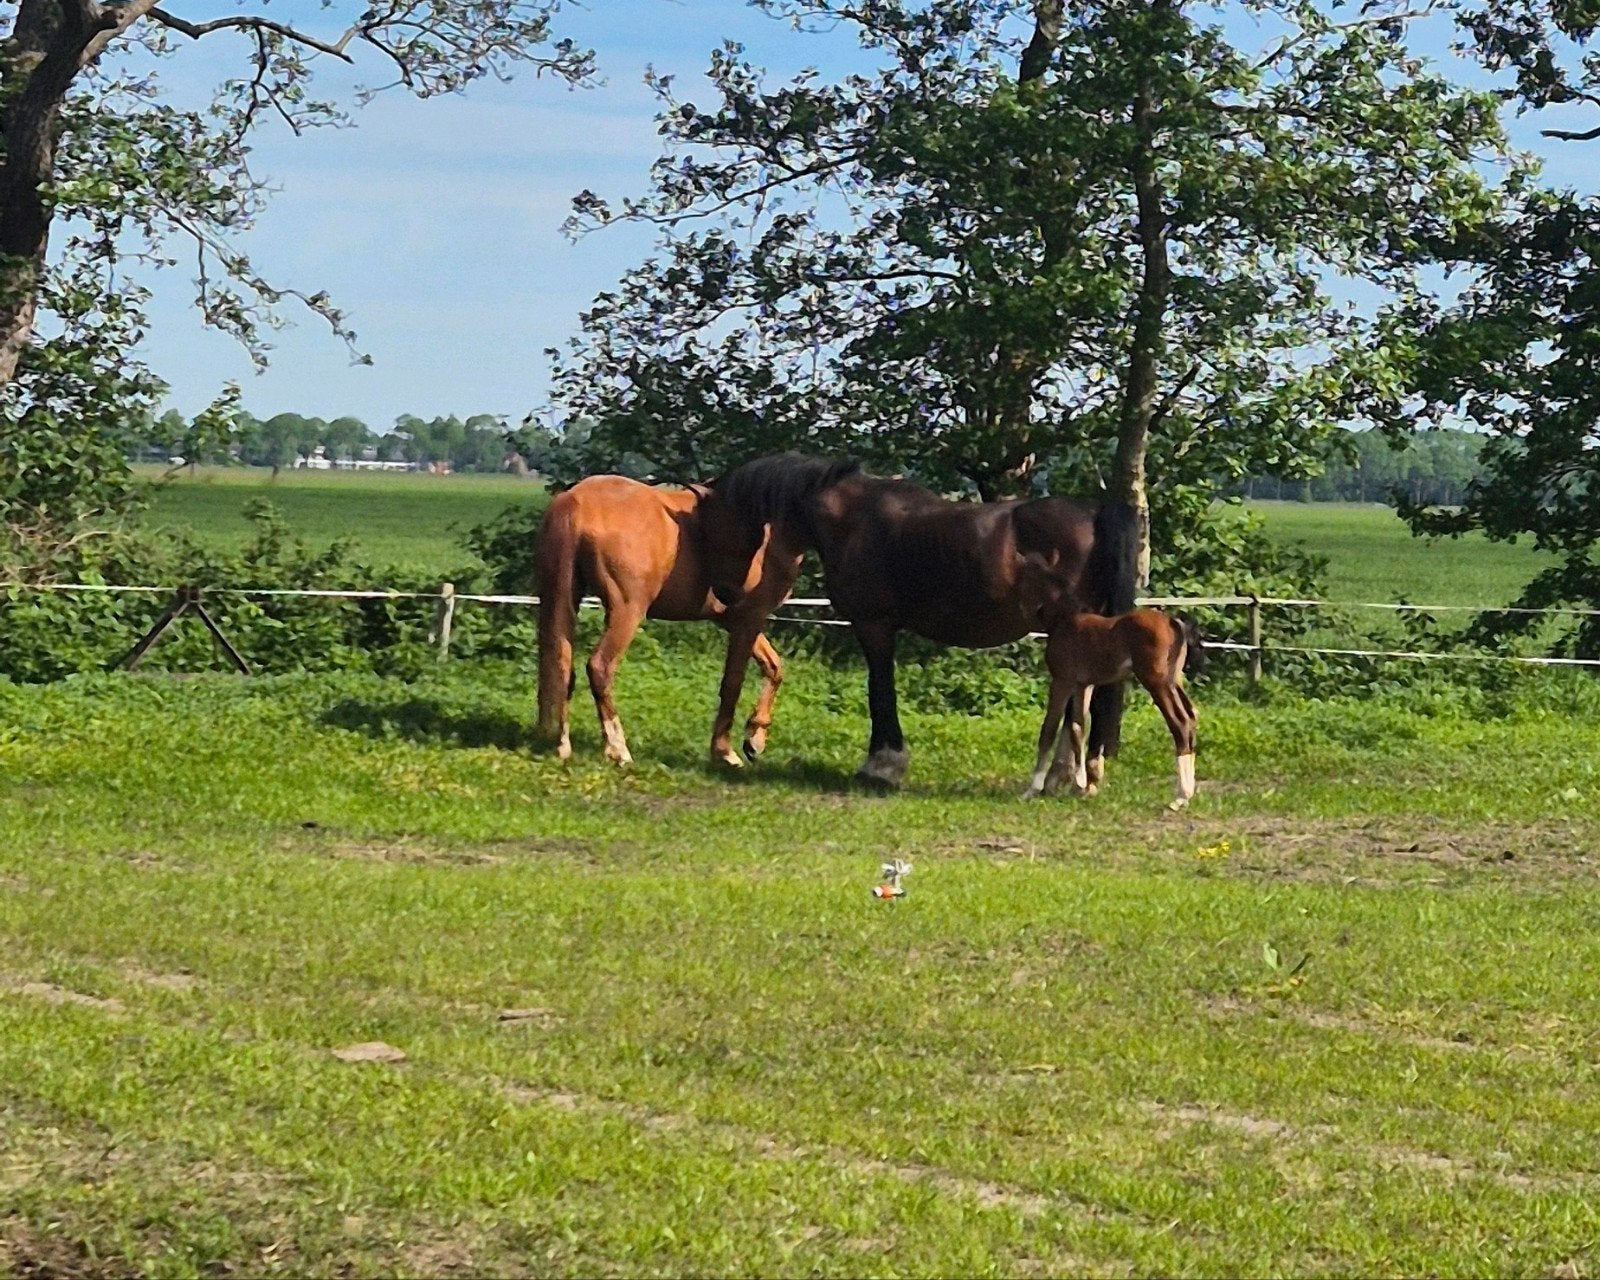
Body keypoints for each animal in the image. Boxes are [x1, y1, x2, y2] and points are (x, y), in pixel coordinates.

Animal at [534, 475, 801, 768]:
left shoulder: (733, 620)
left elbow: (774, 667)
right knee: (599, 667)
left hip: (560, 600)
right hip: (627, 611)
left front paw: (754, 739)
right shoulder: (749, 617)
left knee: (562, 665)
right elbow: (734, 682)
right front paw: (726, 751)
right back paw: (618, 749)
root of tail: (578, 501)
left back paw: (562, 746)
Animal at [707, 453, 1140, 789]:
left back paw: (1064, 776)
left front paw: (882, 767)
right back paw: (1067, 776)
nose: (725, 596)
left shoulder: (874, 626)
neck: (853, 520)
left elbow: (880, 691)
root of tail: (1094, 513)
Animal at [1024, 609, 1203, 810]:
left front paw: (1032, 790)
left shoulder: (1062, 681)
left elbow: (1048, 730)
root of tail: (1174, 622)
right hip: (1174, 681)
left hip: (1157, 683)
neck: (1061, 621)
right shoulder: (1083, 685)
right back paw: (1187, 793)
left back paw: (1181, 797)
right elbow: (1077, 729)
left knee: (1180, 722)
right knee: (1191, 715)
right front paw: (1081, 784)